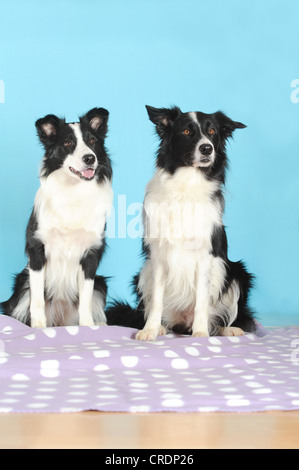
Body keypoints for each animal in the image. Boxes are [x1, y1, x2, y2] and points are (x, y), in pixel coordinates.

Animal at [0, 107, 113, 326]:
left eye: (92, 141)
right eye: (68, 144)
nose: (90, 158)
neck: (73, 191)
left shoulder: (91, 254)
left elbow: (86, 298)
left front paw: (88, 327)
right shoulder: (37, 250)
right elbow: (37, 298)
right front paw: (38, 327)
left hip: (101, 283)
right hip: (22, 281)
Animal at [108, 104, 258, 340]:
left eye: (212, 131)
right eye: (187, 132)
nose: (207, 149)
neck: (187, 184)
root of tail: (182, 324)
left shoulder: (206, 256)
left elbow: (202, 301)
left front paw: (200, 333)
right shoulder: (158, 257)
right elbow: (157, 300)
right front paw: (150, 330)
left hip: (237, 272)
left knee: (222, 316)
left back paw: (227, 329)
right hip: (143, 272)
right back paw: (162, 327)